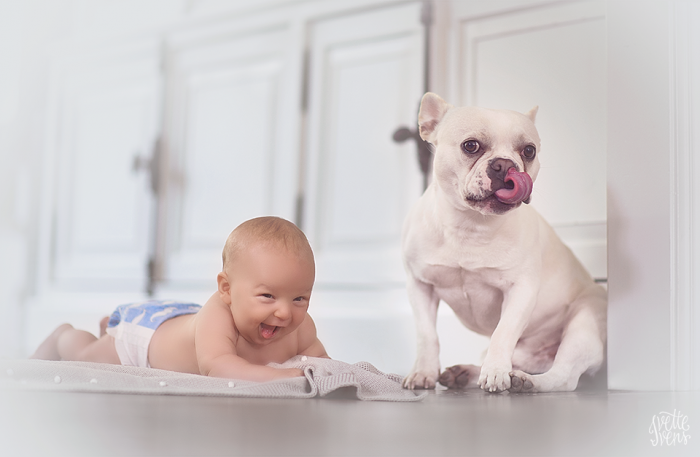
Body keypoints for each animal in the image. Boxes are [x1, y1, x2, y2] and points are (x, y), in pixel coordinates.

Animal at [402, 92, 604, 392]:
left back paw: (525, 382)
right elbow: (427, 335)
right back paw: (466, 373)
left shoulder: (520, 291)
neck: (470, 225)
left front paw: (496, 373)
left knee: (564, 376)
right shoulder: (420, 285)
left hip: (584, 323)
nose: (505, 164)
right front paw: (423, 372)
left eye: (529, 151)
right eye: (470, 146)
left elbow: (503, 333)